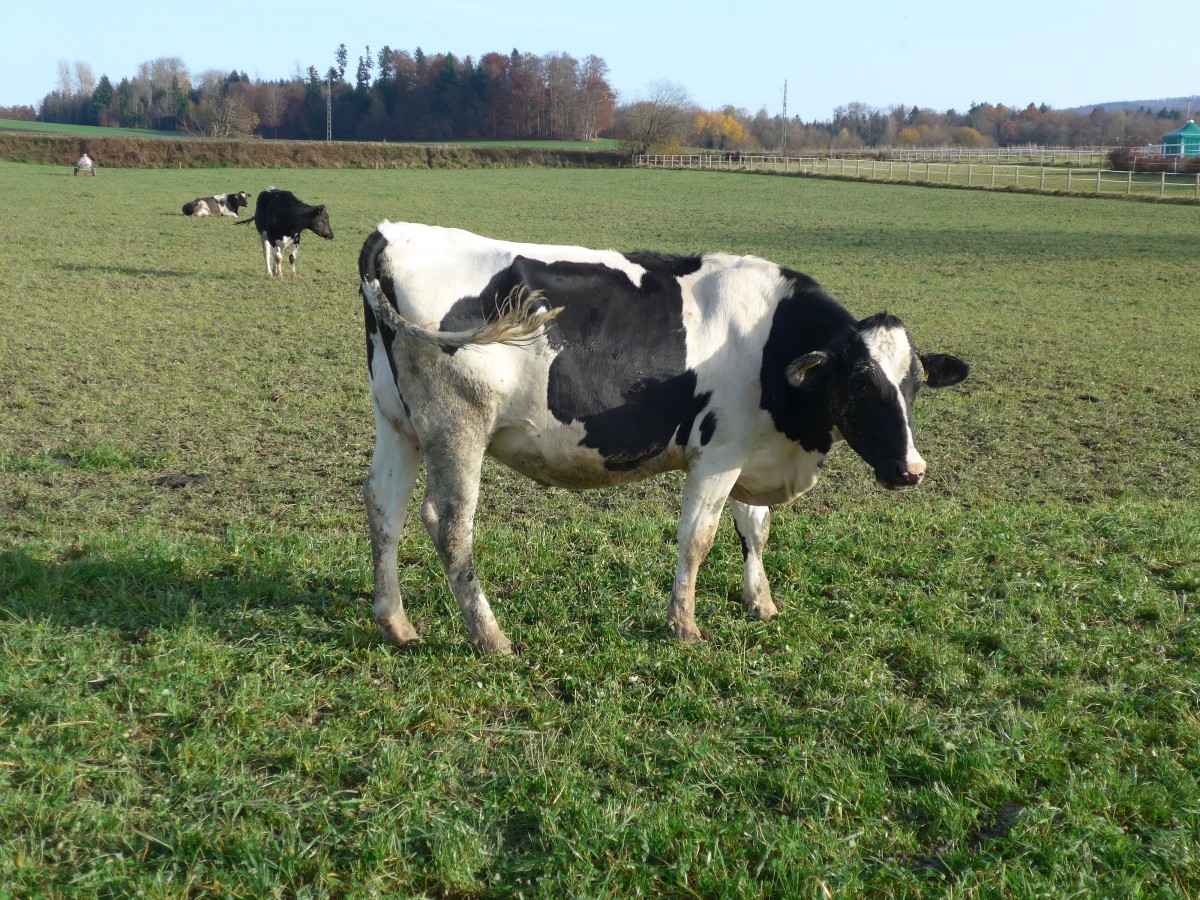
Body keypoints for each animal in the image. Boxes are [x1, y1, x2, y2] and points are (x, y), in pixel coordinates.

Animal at [358, 222, 970, 655]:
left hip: (398, 423)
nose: (911, 470)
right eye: (861, 385)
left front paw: (761, 603)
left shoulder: (750, 451)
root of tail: (394, 233)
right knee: (448, 524)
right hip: (457, 426)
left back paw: (396, 623)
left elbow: (755, 529)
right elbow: (698, 537)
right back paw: (490, 637)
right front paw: (685, 625)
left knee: (384, 507)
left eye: (914, 385)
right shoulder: (719, 453)